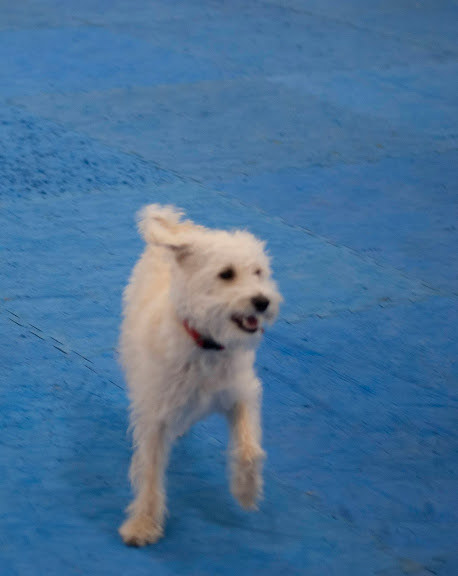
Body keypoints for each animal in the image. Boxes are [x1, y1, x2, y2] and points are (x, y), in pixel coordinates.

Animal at [118, 204, 281, 546]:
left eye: (259, 272)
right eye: (226, 274)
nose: (262, 301)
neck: (207, 344)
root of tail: (181, 230)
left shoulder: (241, 394)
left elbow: (249, 449)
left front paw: (246, 491)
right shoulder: (157, 416)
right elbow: (150, 471)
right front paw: (143, 524)